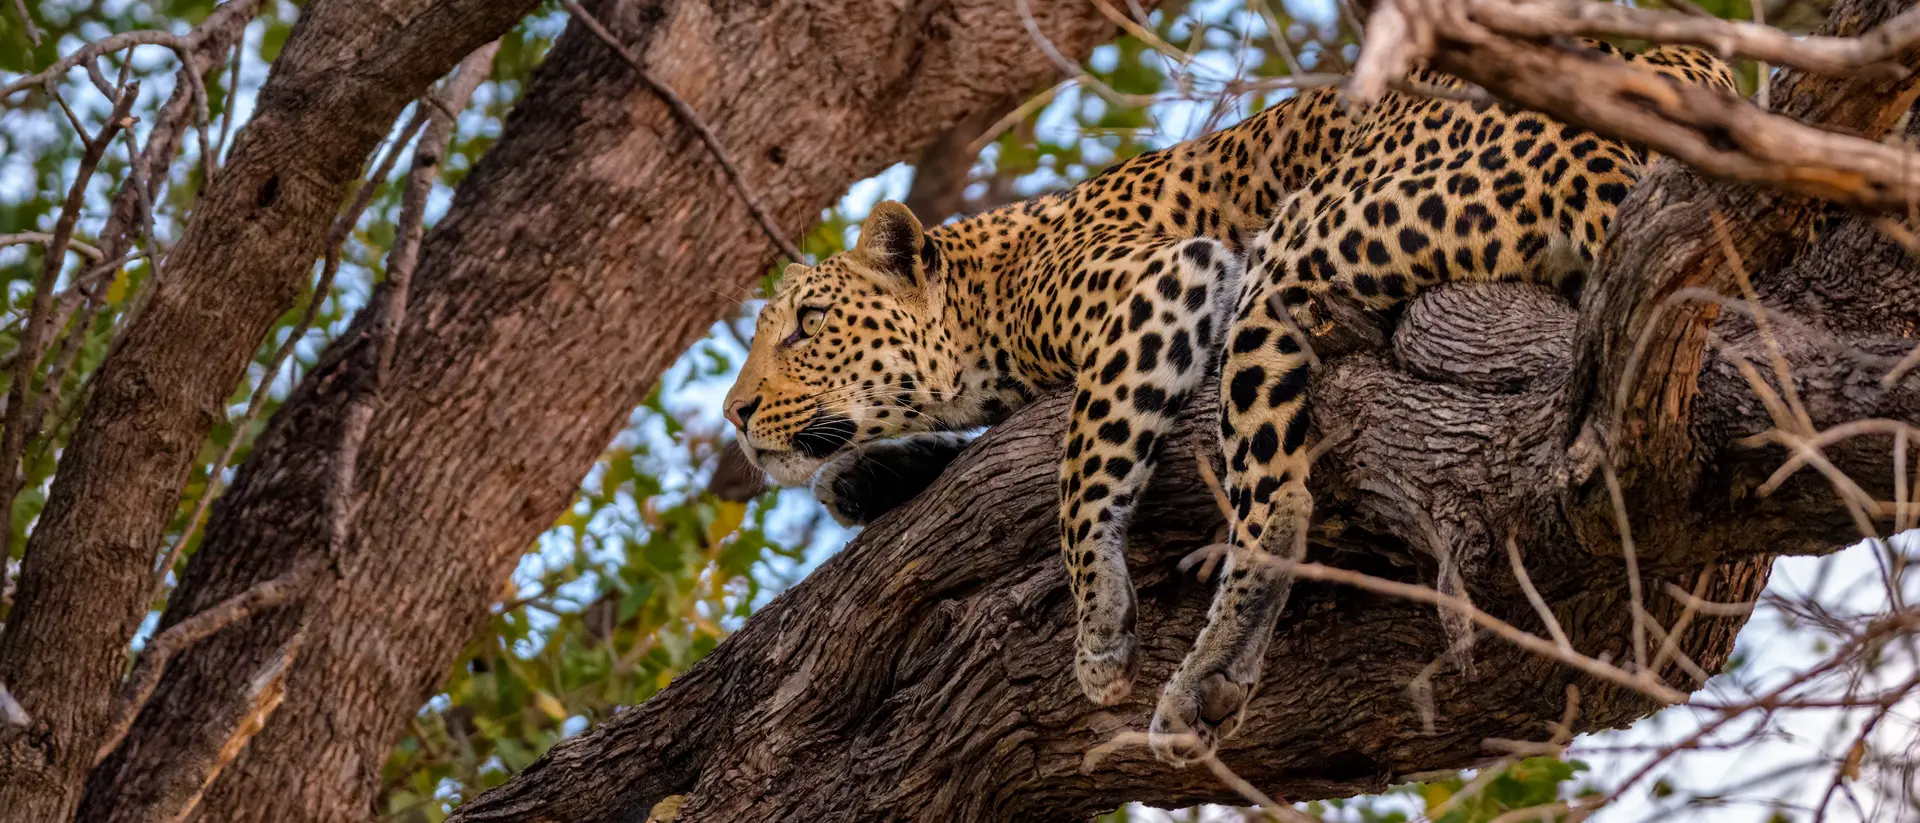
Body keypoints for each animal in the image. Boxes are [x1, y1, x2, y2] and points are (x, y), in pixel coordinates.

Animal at [722, 41, 1735, 765]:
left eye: (807, 322)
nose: (733, 413)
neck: (987, 290)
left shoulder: (1163, 283)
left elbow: (1080, 467)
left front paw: (1101, 628)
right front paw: (867, 478)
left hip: (1291, 250)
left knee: (1278, 497)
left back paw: (1206, 673)